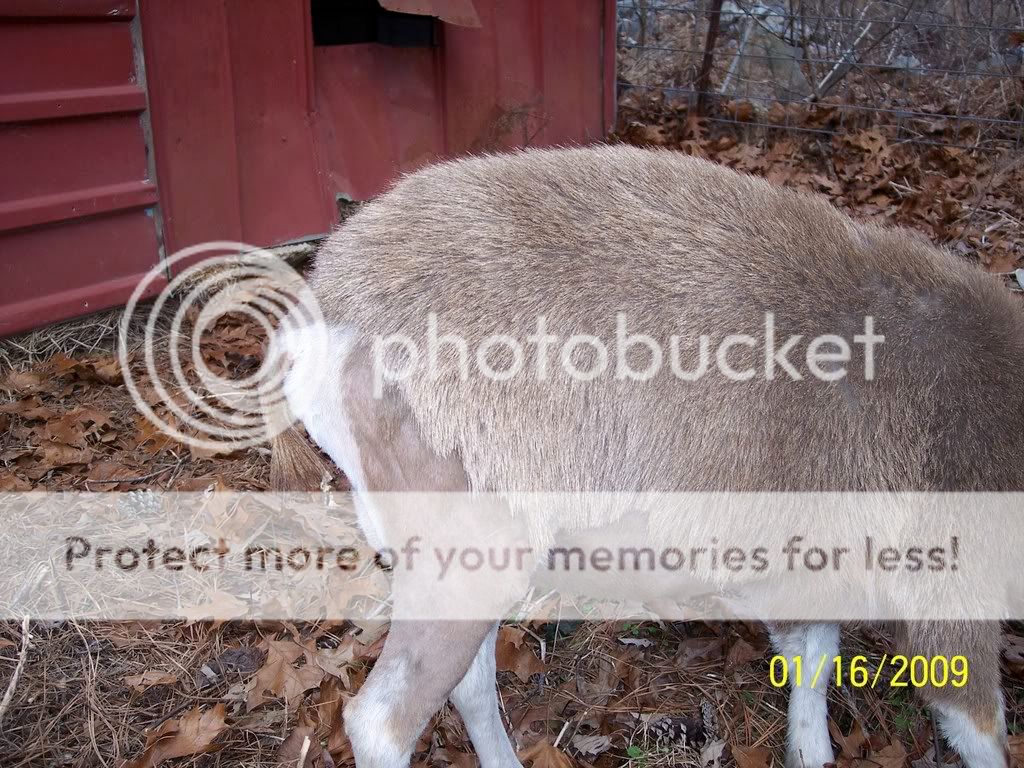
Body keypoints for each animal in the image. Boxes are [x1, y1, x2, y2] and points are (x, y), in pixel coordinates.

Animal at [272, 145, 1024, 768]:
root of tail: (329, 310)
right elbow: (978, 723)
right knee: (380, 723)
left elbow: (811, 666)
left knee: (469, 686)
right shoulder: (948, 586)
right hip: (460, 557)